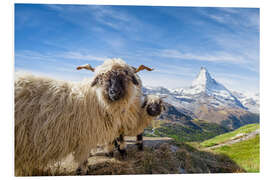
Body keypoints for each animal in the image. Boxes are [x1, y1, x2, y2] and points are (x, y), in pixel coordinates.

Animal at [14, 58, 153, 176]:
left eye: (125, 76)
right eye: (102, 77)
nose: (114, 92)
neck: (96, 100)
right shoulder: (84, 139)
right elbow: (83, 161)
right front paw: (83, 171)